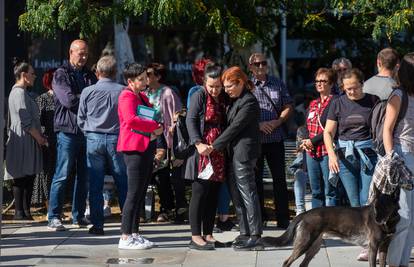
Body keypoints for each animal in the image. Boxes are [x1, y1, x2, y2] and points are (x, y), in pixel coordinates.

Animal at [260, 188, 400, 267]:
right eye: (375, 207)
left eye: (386, 207)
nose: (376, 220)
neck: (388, 222)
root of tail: (306, 213)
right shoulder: (373, 247)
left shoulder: (384, 247)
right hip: (304, 244)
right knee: (287, 262)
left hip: (314, 247)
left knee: (302, 264)